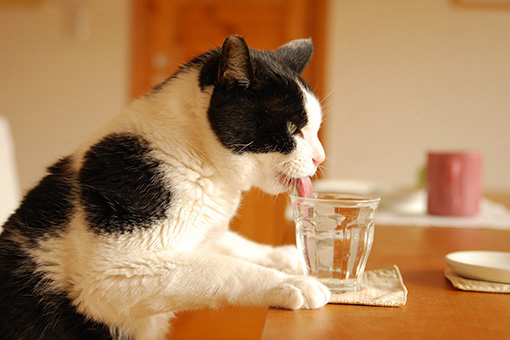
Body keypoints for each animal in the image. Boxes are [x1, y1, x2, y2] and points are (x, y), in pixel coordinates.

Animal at [0, 35, 326, 340]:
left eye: (314, 129)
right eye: (292, 128)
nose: (319, 157)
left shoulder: (201, 237)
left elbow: (232, 247)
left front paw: (290, 257)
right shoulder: (109, 278)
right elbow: (224, 270)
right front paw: (294, 282)